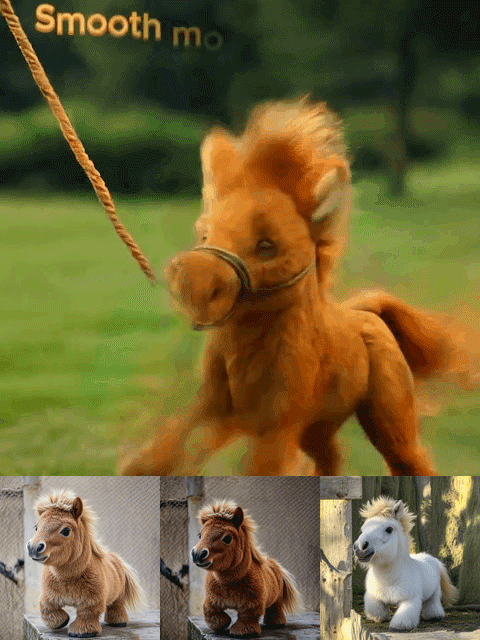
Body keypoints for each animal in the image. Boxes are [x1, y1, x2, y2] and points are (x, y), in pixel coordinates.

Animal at [26, 489, 145, 638]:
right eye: (36, 527)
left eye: (66, 530)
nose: (33, 548)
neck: (67, 578)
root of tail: (115, 558)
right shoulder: (49, 597)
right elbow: (46, 608)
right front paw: (62, 621)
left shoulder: (91, 602)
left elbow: (87, 614)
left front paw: (82, 631)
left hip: (119, 596)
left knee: (116, 605)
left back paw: (118, 622)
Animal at [119, 95, 477, 476]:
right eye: (205, 234)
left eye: (267, 245)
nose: (194, 285)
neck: (249, 353)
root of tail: (364, 313)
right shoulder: (212, 409)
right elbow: (161, 453)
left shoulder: (276, 428)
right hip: (319, 425)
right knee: (331, 456)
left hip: (387, 417)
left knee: (407, 458)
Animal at [191, 500, 302, 637]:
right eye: (199, 535)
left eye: (227, 538)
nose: (197, 554)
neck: (229, 583)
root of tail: (274, 564)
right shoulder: (211, 600)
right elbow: (210, 612)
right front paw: (224, 623)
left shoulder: (252, 605)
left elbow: (247, 617)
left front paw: (241, 631)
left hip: (277, 600)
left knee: (275, 608)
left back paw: (276, 623)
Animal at [354, 496, 458, 631]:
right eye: (362, 529)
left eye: (389, 529)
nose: (360, 547)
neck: (389, 580)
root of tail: (431, 558)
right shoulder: (373, 597)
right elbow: (376, 611)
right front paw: (381, 617)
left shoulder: (410, 600)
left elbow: (404, 617)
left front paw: (398, 627)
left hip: (435, 592)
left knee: (432, 602)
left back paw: (435, 616)